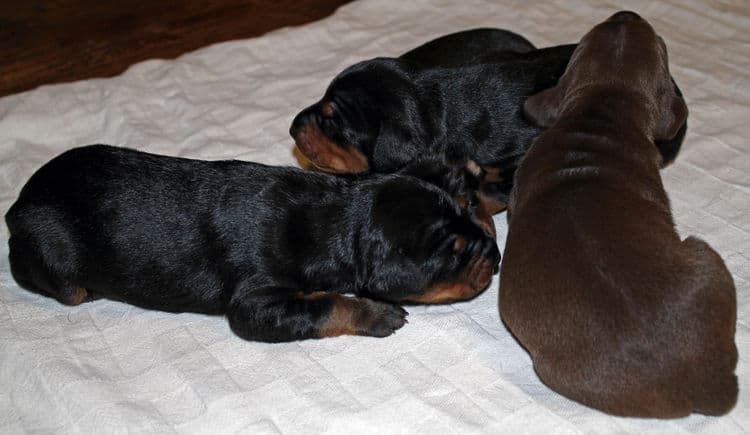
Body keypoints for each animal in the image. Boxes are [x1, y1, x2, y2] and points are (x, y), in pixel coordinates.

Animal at [5, 146, 502, 344]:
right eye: (455, 252)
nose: (496, 257)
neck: (335, 215)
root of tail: (18, 204)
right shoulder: (255, 301)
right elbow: (326, 303)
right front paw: (379, 314)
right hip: (51, 254)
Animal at [500, 11, 740, 418]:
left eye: (589, 35)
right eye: (661, 44)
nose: (625, 13)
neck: (601, 109)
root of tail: (709, 385)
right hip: (705, 253)